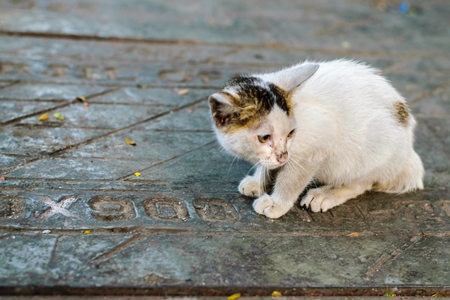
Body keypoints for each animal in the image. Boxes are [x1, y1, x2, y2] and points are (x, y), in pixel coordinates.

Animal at [209, 59, 424, 218]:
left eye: (291, 133)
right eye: (264, 138)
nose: (283, 156)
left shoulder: (318, 143)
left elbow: (292, 179)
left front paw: (277, 203)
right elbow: (267, 164)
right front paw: (259, 180)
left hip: (372, 152)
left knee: (361, 182)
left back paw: (325, 195)